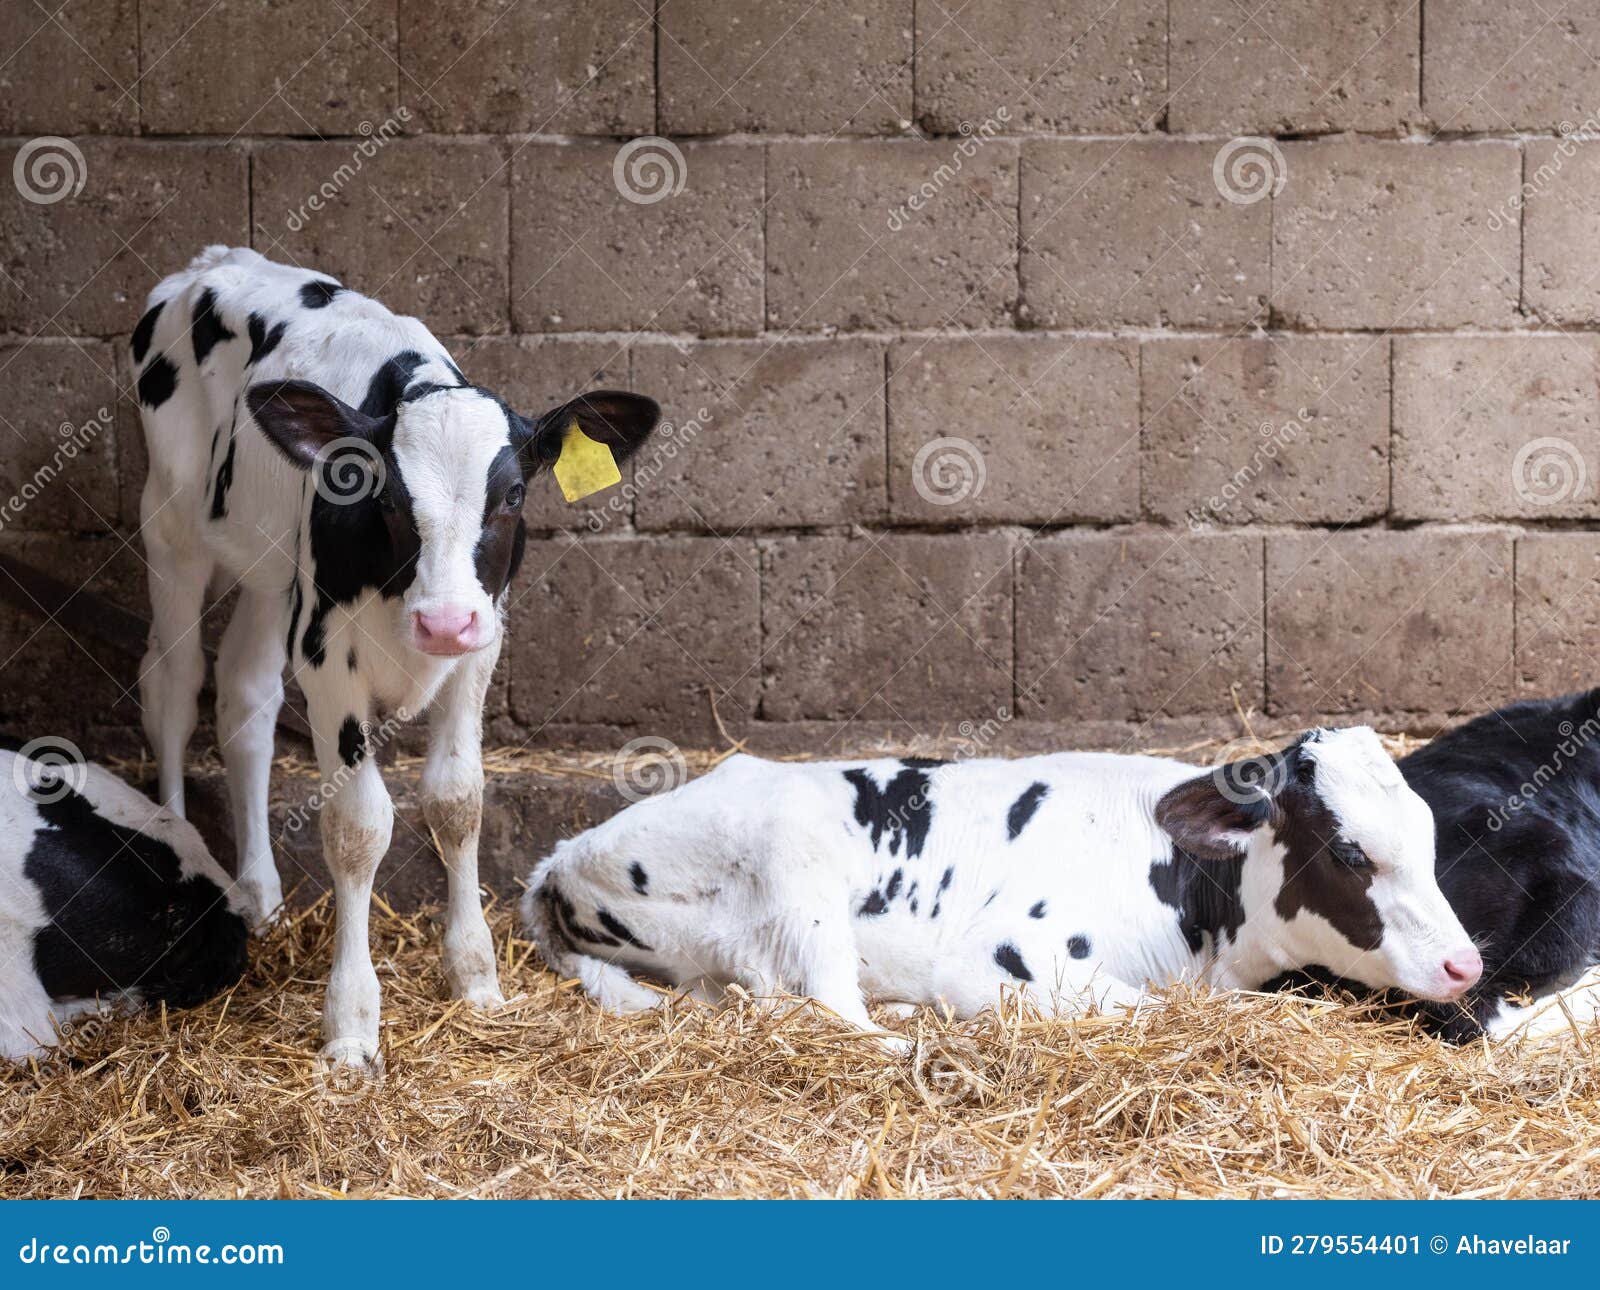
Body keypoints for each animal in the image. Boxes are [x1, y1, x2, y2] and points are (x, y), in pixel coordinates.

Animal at [131, 246, 660, 1069]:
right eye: (376, 493)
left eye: (513, 494)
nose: (441, 622)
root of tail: (212, 261)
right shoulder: (324, 659)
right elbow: (358, 827)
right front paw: (351, 1023)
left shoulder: (481, 644)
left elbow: (457, 799)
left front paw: (475, 978)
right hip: (172, 528)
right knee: (174, 689)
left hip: (272, 575)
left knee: (244, 699)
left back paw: (260, 895)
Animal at [521, 727, 1481, 1050]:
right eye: (1352, 854)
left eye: (1429, 839)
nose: (1465, 966)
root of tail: (561, 854)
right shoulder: (1011, 953)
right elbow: (1144, 1009)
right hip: (797, 859)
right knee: (826, 1008)